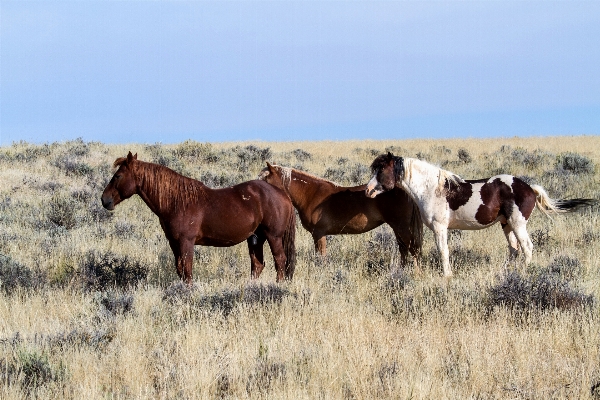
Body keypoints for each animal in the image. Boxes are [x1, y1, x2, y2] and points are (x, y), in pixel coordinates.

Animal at [102, 152, 296, 282]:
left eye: (118, 175)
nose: (105, 200)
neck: (177, 201)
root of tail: (283, 194)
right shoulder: (174, 243)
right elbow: (180, 269)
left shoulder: (186, 242)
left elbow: (187, 270)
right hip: (255, 238)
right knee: (258, 265)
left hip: (273, 236)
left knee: (280, 261)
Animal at [258, 162, 422, 268]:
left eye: (265, 179)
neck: (310, 194)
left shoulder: (319, 234)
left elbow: (321, 256)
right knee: (404, 249)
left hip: (401, 226)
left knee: (413, 249)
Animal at [366, 152, 596, 276]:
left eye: (381, 170)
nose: (368, 191)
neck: (431, 189)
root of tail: (530, 188)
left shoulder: (440, 228)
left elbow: (443, 252)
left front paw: (447, 275)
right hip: (506, 224)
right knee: (514, 249)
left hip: (518, 223)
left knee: (527, 248)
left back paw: (523, 272)